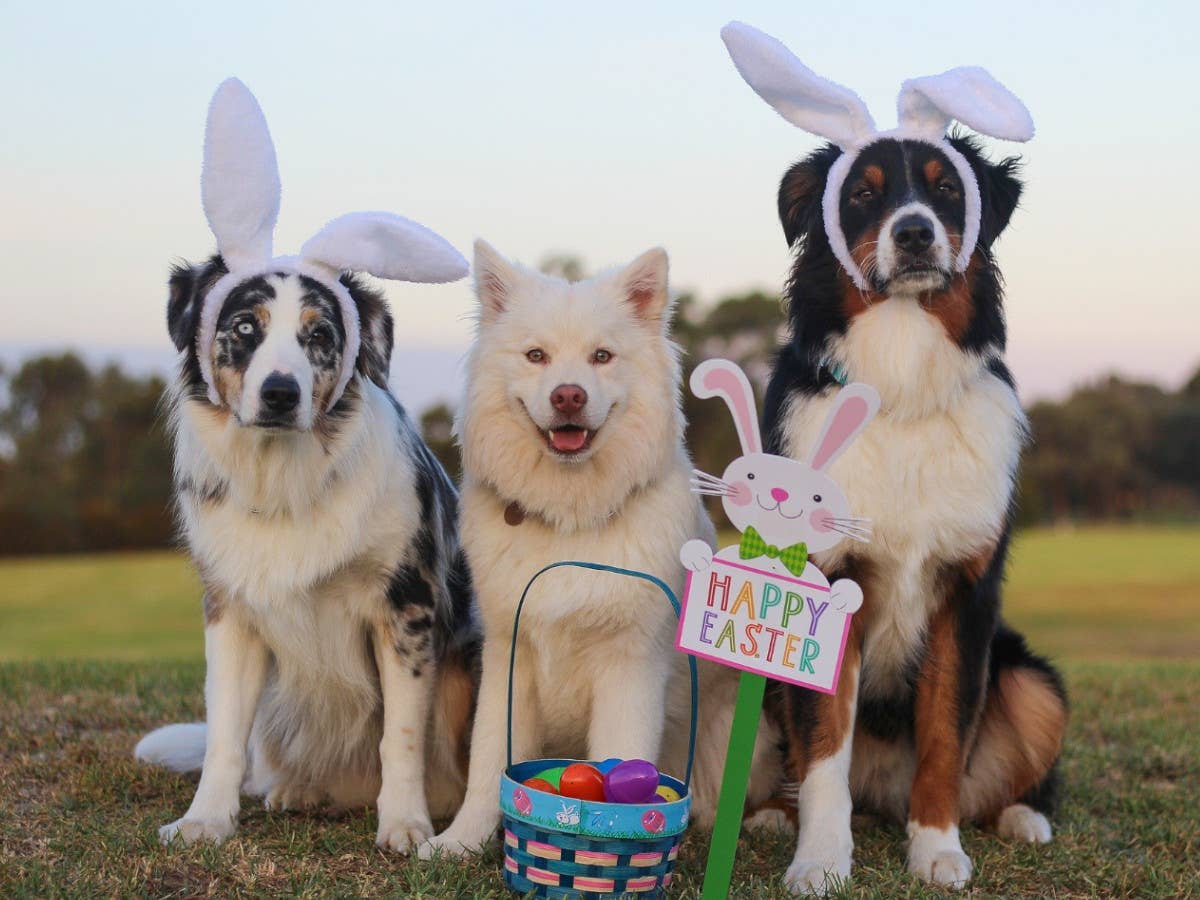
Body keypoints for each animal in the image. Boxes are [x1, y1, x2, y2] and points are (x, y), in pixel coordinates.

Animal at [420, 241, 777, 859]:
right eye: (536, 355)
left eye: (602, 356)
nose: (569, 395)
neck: (572, 518)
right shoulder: (508, 656)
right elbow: (488, 759)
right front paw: (460, 842)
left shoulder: (630, 668)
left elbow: (622, 756)